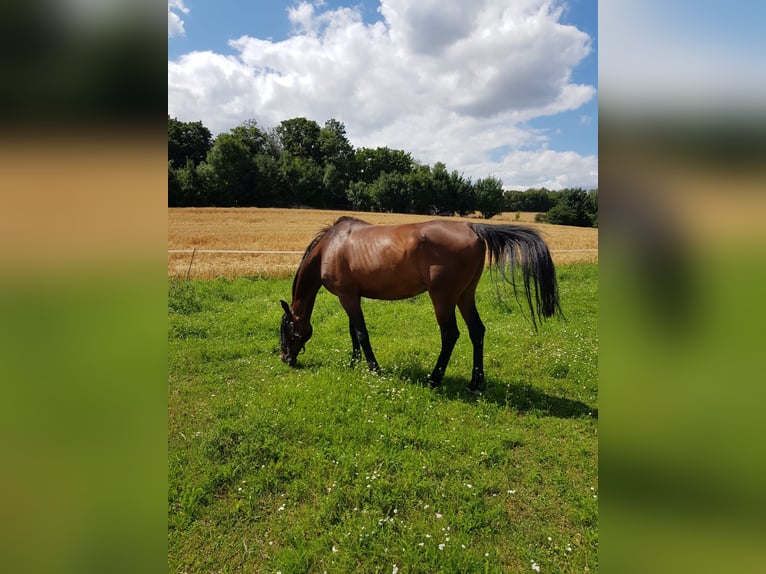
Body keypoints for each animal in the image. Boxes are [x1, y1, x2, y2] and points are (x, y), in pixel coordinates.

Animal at [279, 216, 561, 392]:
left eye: (286, 329)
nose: (285, 358)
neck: (331, 247)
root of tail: (472, 227)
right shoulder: (350, 297)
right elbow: (353, 332)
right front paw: (353, 362)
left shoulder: (348, 297)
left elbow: (361, 333)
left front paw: (373, 368)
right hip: (465, 296)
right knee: (476, 331)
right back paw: (474, 383)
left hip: (443, 299)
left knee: (450, 334)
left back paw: (435, 379)